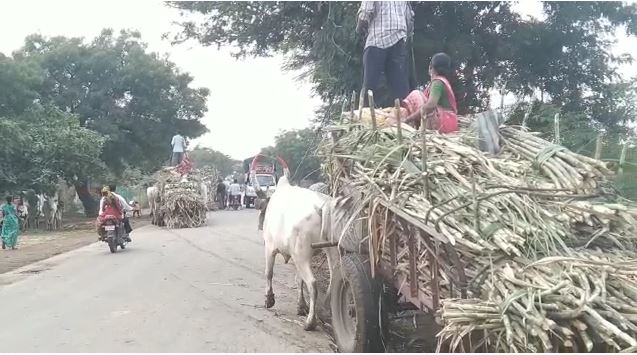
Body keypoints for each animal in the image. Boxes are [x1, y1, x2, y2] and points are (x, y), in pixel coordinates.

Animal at [260, 177, 338, 332]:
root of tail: (322, 207)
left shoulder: (270, 247)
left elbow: (269, 273)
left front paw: (269, 299)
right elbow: (299, 280)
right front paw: (301, 306)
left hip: (302, 254)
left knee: (312, 283)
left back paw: (310, 322)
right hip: (331, 249)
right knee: (333, 278)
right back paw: (326, 310)